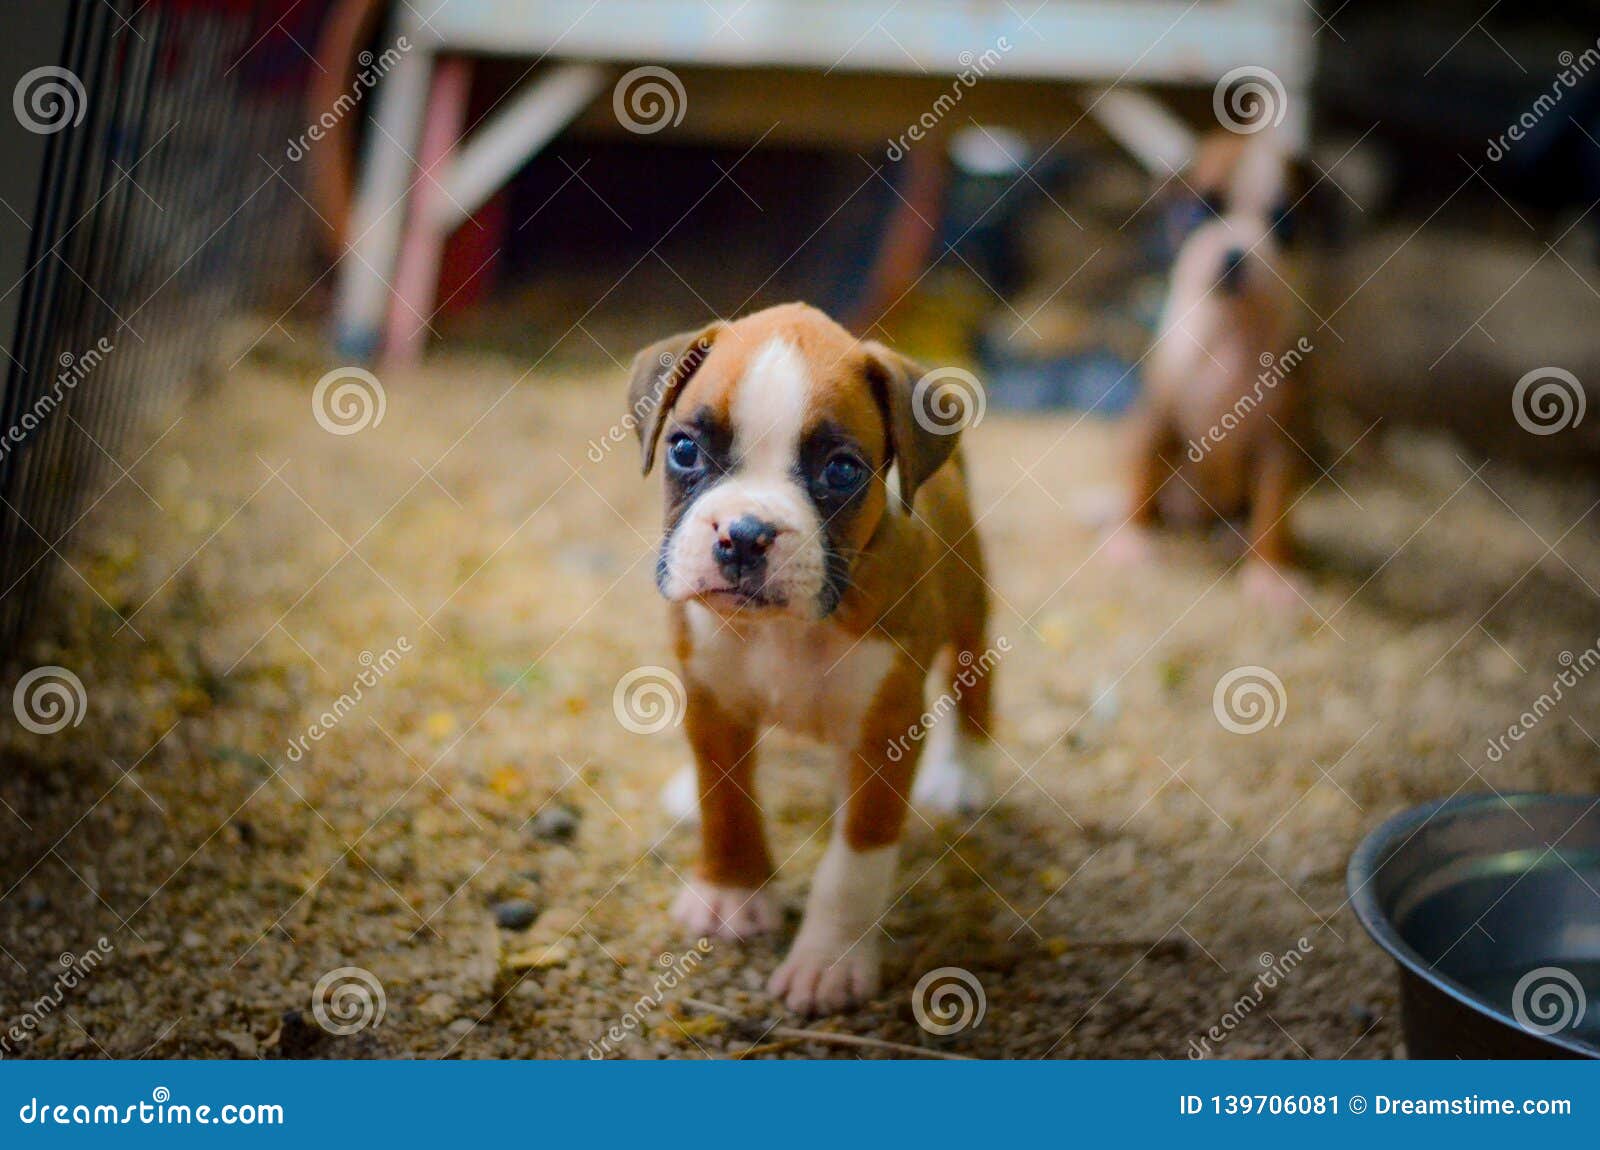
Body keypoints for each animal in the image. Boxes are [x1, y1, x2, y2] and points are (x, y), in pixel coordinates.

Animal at [624, 300, 985, 1010]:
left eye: (841, 470)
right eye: (685, 449)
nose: (744, 535)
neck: (787, 632)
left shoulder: (884, 732)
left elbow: (855, 861)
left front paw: (830, 959)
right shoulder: (712, 702)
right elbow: (726, 800)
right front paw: (731, 889)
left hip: (971, 610)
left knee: (974, 679)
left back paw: (963, 767)